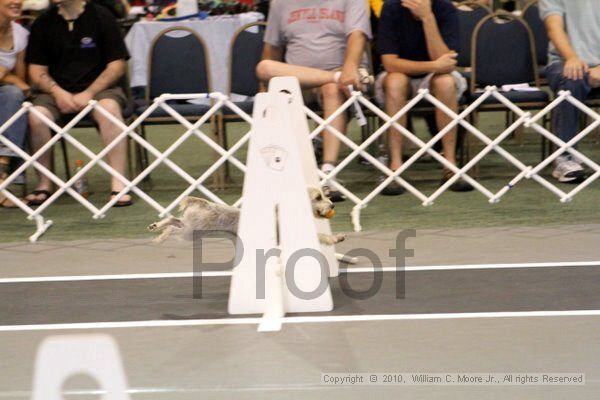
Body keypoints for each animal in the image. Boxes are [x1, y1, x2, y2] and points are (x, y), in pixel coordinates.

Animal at [149, 186, 346, 245]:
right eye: (318, 197)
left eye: (325, 194)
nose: (333, 205)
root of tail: (201, 202)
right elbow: (320, 235)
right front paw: (336, 238)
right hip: (190, 233)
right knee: (173, 229)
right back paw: (161, 236)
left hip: (190, 226)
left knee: (173, 220)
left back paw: (156, 226)